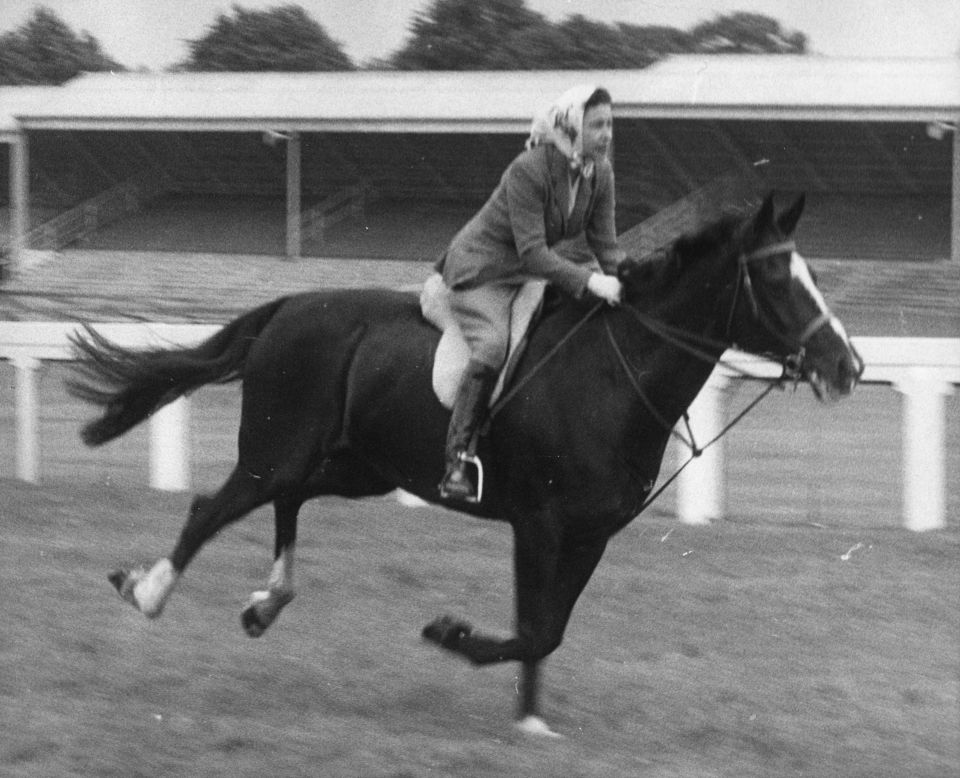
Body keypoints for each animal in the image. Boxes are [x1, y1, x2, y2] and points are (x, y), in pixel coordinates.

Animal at [67, 192, 864, 732]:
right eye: (780, 281)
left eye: (813, 274)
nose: (848, 366)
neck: (611, 375)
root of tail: (286, 307)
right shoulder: (539, 523)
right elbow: (535, 627)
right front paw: (451, 634)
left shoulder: (591, 534)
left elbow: (549, 628)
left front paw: (530, 718)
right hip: (276, 452)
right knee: (212, 509)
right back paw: (148, 591)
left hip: (352, 467)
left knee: (288, 503)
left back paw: (267, 601)